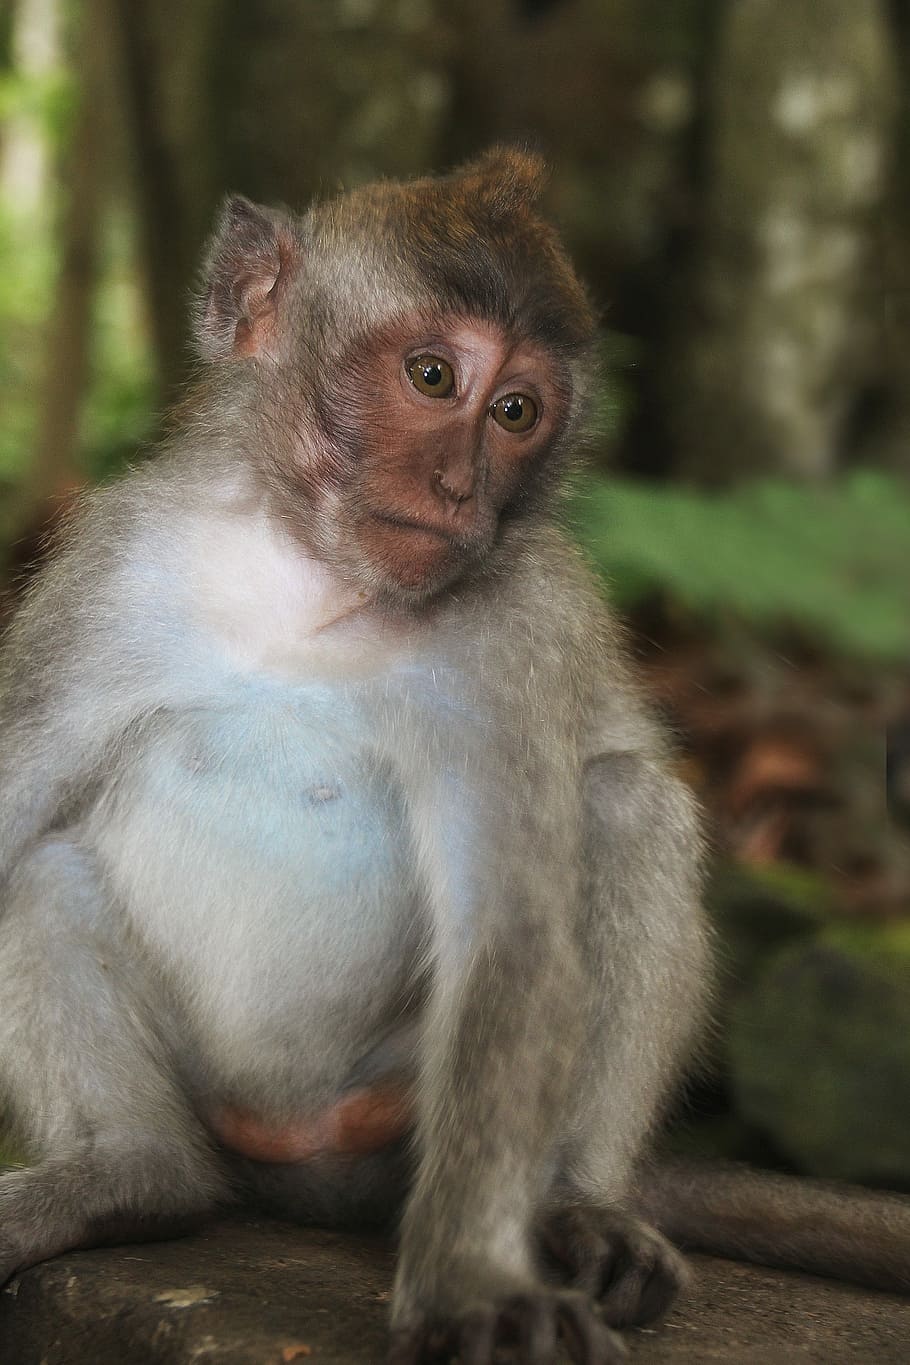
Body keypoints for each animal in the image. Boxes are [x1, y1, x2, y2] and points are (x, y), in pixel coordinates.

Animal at [0, 148, 907, 1365]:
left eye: (516, 411)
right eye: (433, 377)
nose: (459, 487)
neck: (316, 588)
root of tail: (297, 1158)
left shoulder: (513, 634)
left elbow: (513, 938)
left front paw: (471, 1285)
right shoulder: (107, 573)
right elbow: (13, 810)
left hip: (398, 1111)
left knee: (626, 805)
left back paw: (571, 1209)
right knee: (45, 867)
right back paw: (132, 1178)